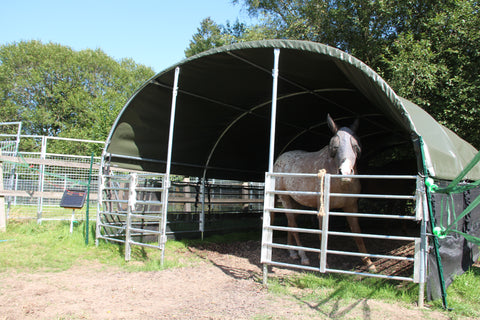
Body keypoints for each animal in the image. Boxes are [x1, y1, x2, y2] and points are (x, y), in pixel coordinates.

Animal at [274, 114, 376, 272]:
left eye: (356, 146)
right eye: (334, 147)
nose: (345, 173)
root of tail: (279, 159)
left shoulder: (352, 206)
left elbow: (357, 234)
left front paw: (369, 264)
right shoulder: (322, 208)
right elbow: (323, 234)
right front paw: (324, 263)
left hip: (296, 203)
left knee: (290, 224)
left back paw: (292, 252)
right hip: (284, 199)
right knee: (293, 225)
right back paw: (303, 256)